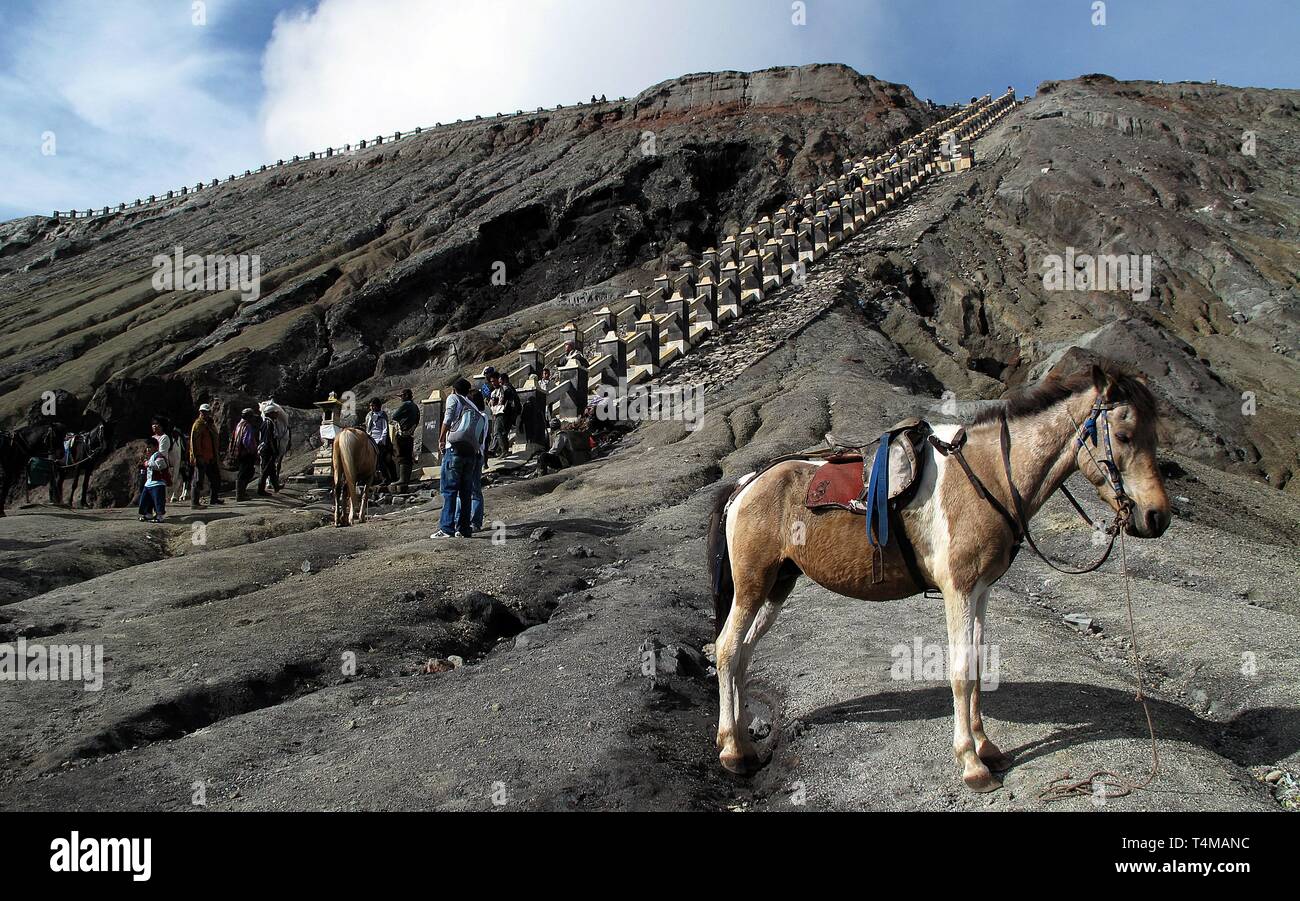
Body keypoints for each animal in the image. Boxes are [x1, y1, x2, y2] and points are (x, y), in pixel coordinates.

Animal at [707, 356, 1175, 790]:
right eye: (1124, 435)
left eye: (1155, 437)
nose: (1156, 517)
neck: (989, 478)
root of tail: (745, 484)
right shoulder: (959, 589)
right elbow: (961, 670)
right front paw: (971, 763)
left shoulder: (981, 590)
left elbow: (979, 665)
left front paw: (988, 747)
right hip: (753, 584)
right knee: (727, 649)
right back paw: (732, 751)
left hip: (778, 585)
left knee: (744, 652)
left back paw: (742, 743)